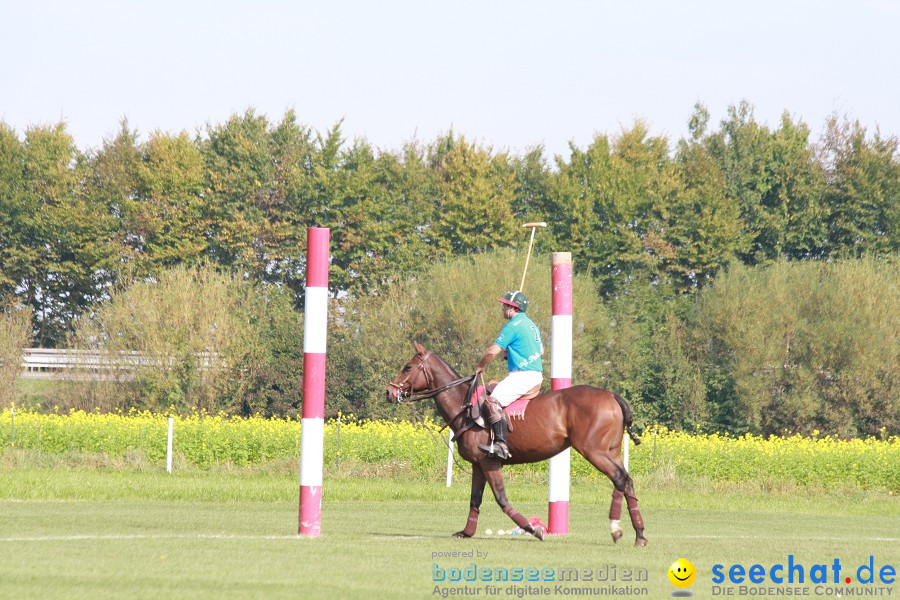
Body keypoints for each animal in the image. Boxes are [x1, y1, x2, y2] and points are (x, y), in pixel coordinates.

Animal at [384, 340, 648, 548]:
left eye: (407, 367)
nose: (389, 392)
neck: (464, 406)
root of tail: (613, 396)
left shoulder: (489, 463)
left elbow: (501, 499)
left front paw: (534, 529)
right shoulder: (478, 465)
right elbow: (475, 499)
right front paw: (466, 532)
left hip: (594, 451)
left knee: (620, 479)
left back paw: (617, 529)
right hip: (611, 451)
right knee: (626, 480)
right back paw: (639, 535)